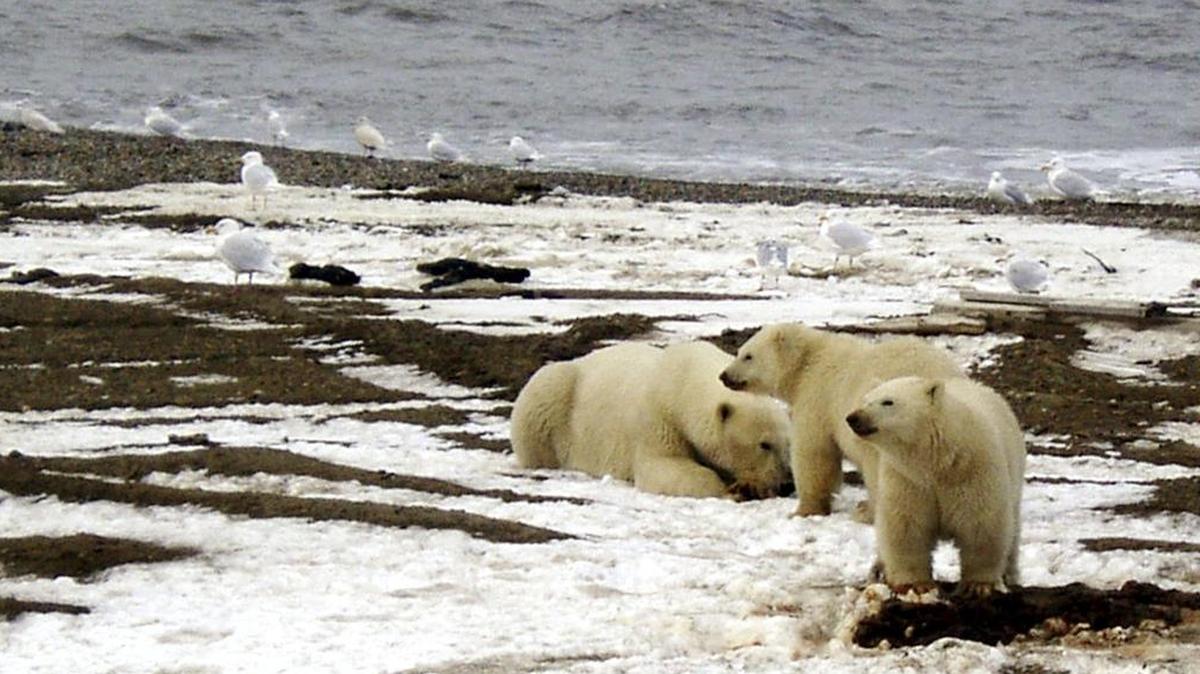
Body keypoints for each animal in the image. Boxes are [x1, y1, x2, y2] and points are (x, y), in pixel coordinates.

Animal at [510, 340, 791, 499]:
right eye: (764, 444)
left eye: (787, 444)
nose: (787, 483)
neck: (684, 382)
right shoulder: (658, 419)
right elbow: (663, 466)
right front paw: (732, 490)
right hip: (555, 396)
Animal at [718, 322, 964, 519]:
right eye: (739, 351)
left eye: (748, 356)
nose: (724, 376)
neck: (808, 361)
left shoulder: (819, 396)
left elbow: (814, 452)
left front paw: (804, 510)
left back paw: (868, 512)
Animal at [845, 376, 1026, 597]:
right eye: (865, 399)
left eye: (888, 402)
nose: (853, 418)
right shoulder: (907, 479)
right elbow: (906, 526)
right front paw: (915, 585)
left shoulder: (974, 472)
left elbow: (981, 524)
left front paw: (978, 585)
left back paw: (1010, 576)